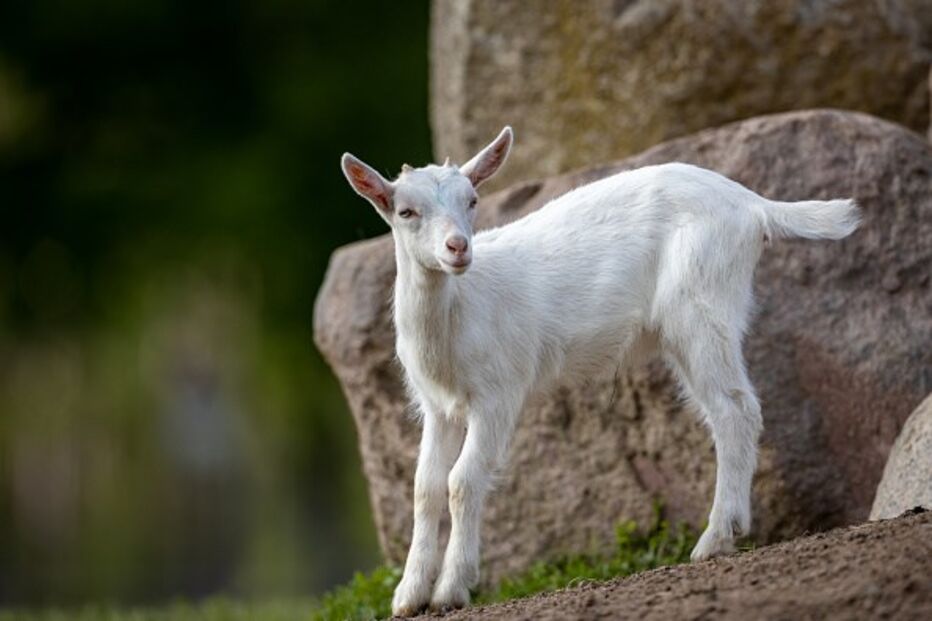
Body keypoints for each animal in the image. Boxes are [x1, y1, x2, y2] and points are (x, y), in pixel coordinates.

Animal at [339, 127, 859, 616]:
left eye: (472, 200)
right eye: (406, 212)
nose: (457, 248)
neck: (459, 312)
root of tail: (754, 207)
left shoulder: (499, 392)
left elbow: (462, 481)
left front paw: (450, 591)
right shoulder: (438, 406)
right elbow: (425, 488)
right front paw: (408, 597)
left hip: (701, 305)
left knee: (736, 410)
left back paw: (715, 538)